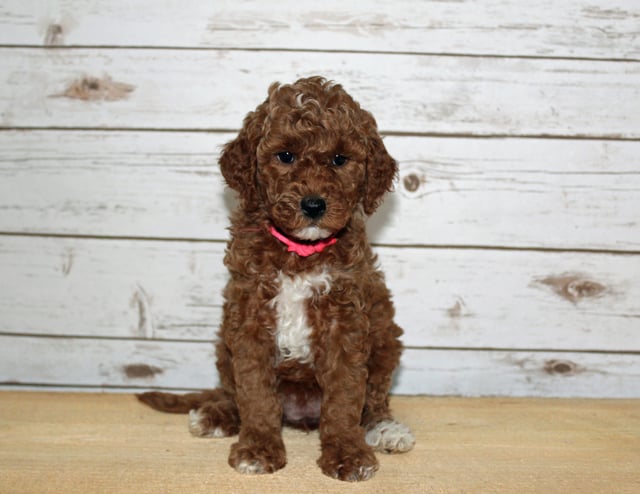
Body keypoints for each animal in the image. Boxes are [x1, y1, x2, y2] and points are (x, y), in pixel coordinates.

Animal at [139, 77, 416, 482]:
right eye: (285, 156)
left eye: (339, 159)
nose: (313, 205)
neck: (300, 251)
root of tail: (301, 413)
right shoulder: (249, 317)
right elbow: (255, 392)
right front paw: (258, 448)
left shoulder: (345, 320)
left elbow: (345, 397)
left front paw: (347, 453)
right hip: (224, 346)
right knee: (232, 391)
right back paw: (216, 414)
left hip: (385, 339)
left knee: (374, 398)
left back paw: (384, 429)